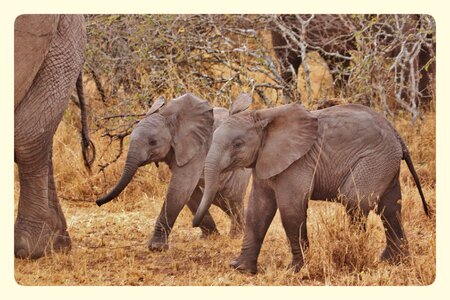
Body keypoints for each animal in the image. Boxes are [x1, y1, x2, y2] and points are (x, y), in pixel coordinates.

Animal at [96, 93, 251, 251]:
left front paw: (156, 248)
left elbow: (180, 187)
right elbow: (189, 193)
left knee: (232, 198)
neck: (173, 122)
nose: (98, 202)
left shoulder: (198, 149)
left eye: (153, 142)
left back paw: (236, 235)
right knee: (220, 200)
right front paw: (210, 237)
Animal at [193, 94, 428, 274]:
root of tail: (396, 133)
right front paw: (240, 268)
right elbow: (257, 211)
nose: (195, 225)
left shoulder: (298, 163)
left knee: (355, 201)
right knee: (391, 208)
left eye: (238, 144)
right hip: (386, 163)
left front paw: (295, 270)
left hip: (375, 160)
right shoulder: (265, 160)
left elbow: (290, 209)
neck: (265, 117)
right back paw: (392, 261)